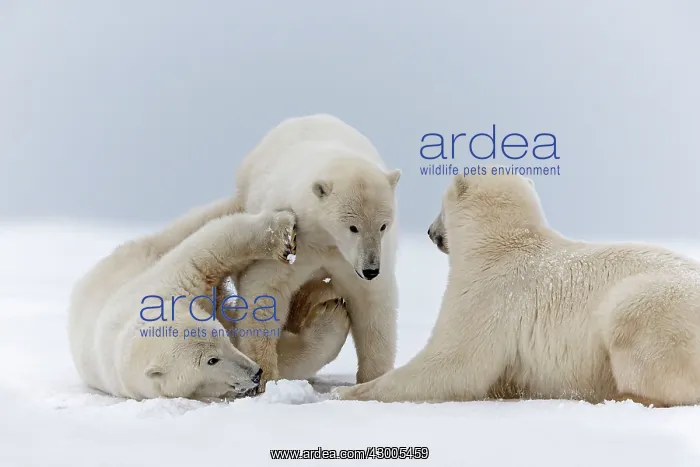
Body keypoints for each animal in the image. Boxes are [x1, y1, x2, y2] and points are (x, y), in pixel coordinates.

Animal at [68, 196, 349, 400]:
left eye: (219, 336)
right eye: (211, 360)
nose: (255, 373)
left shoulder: (168, 288)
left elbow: (205, 252)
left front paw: (282, 232)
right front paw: (331, 316)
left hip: (144, 251)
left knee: (195, 223)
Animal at [228, 113, 401, 392]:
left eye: (383, 226)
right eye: (353, 227)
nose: (370, 269)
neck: (326, 240)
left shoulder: (349, 261)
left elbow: (371, 303)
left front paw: (373, 379)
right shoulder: (293, 241)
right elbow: (265, 288)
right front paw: (265, 374)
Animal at [336, 171, 700, 407]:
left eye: (440, 206)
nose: (429, 231)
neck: (501, 245)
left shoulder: (488, 293)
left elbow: (454, 364)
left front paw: (349, 392)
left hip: (651, 306)